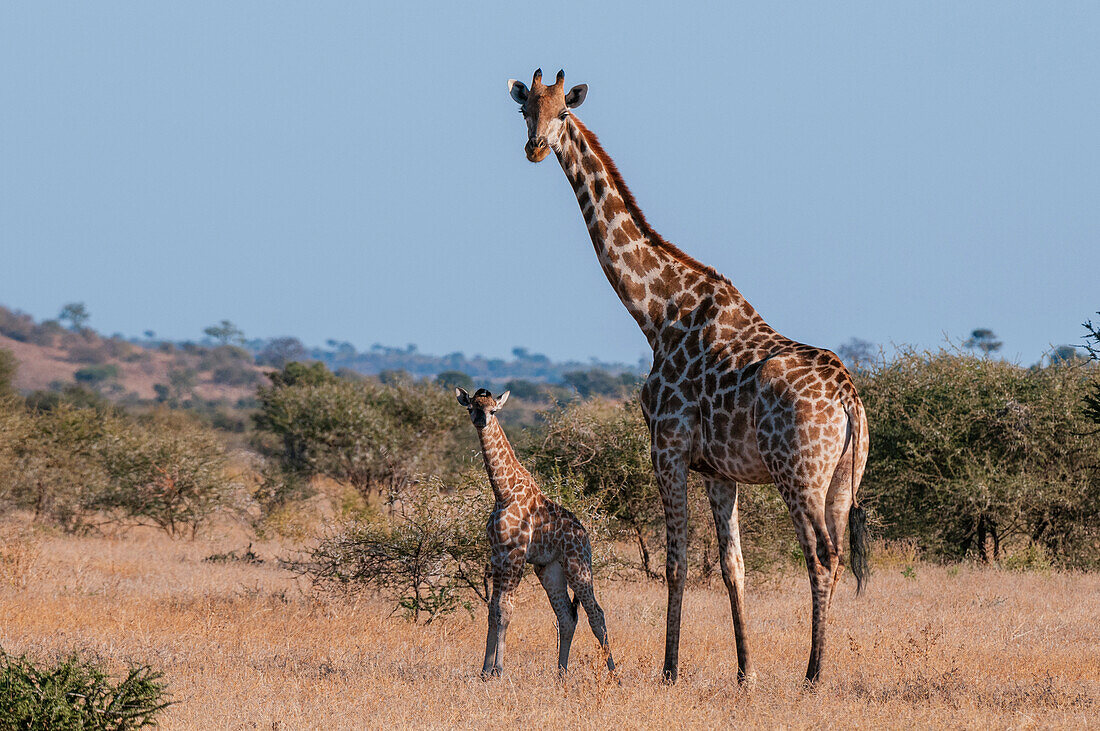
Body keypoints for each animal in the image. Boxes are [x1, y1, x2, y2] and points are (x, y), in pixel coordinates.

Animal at [451, 386, 616, 677]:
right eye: (471, 407)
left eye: (493, 410)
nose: (481, 421)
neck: (503, 492)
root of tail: (586, 537)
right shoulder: (497, 554)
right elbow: (492, 609)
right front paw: (484, 670)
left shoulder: (516, 552)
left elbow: (505, 609)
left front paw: (498, 670)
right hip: (550, 569)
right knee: (567, 615)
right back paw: (560, 674)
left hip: (577, 564)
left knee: (596, 613)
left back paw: (614, 675)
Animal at [503, 69, 866, 685]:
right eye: (526, 109)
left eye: (562, 114)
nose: (533, 148)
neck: (656, 312)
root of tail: (848, 400)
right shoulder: (720, 470)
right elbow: (731, 567)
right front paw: (745, 673)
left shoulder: (666, 447)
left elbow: (675, 563)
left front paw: (669, 669)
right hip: (843, 478)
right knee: (838, 555)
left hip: (799, 473)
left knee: (819, 556)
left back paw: (814, 674)